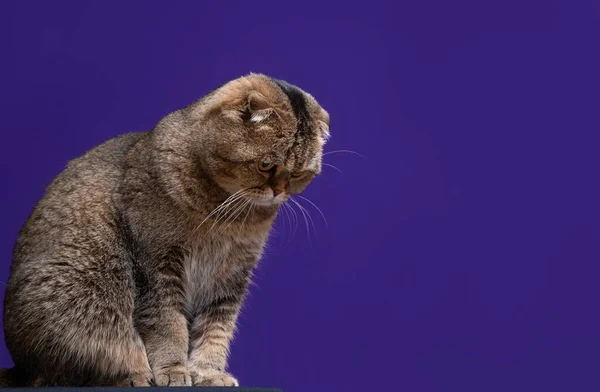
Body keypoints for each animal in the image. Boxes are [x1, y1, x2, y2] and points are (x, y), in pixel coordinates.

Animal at [0, 72, 328, 386]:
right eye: (265, 164)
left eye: (298, 174)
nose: (279, 191)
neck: (229, 216)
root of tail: (21, 368)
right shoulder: (157, 266)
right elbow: (167, 324)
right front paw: (173, 369)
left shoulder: (231, 275)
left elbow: (216, 330)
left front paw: (207, 372)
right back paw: (132, 375)